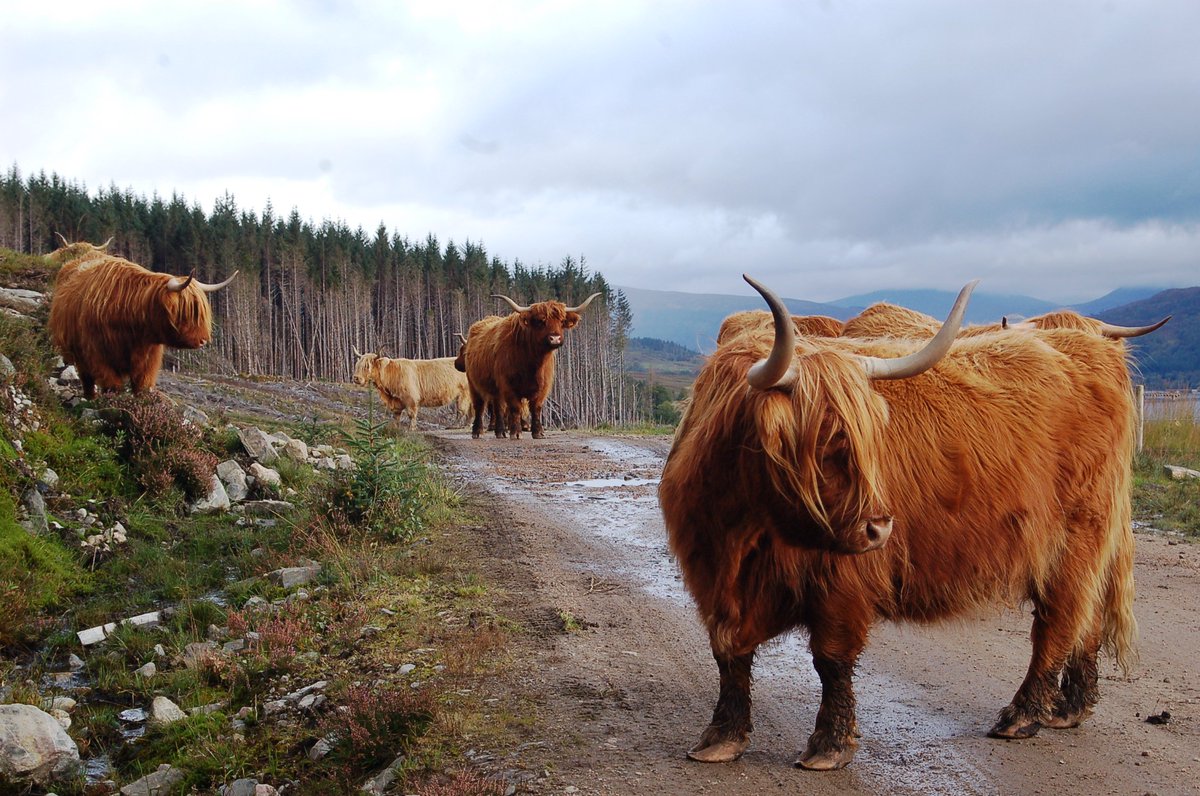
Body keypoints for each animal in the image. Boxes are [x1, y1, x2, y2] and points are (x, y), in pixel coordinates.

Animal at [48, 236, 236, 398]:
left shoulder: (148, 360)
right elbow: (112, 385)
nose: (204, 340)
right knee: (86, 379)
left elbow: (142, 386)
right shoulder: (97, 354)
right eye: (186, 313)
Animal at [465, 294, 604, 441]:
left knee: (498, 408)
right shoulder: (508, 385)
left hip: (496, 390)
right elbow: (515, 408)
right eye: (540, 321)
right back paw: (477, 432)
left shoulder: (543, 386)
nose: (555, 338)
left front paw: (538, 432)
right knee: (480, 406)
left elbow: (536, 408)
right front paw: (516, 433)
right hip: (473, 384)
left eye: (561, 321)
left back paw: (500, 433)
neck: (533, 363)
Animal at [662, 276, 1137, 773]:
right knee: (1086, 621)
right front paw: (721, 738)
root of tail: (1085, 344)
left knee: (1059, 621)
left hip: (1074, 541)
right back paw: (1069, 708)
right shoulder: (712, 577)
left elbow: (830, 659)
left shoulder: (841, 584)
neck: (744, 535)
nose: (879, 530)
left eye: (874, 435)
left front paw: (829, 745)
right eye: (827, 436)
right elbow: (728, 654)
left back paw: (1023, 715)